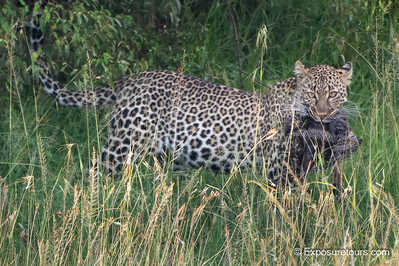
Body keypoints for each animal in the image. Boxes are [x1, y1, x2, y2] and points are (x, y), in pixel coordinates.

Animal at [29, 10, 358, 189]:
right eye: (312, 92)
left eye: (333, 93)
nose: (323, 115)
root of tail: (131, 79)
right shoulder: (277, 171)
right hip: (123, 146)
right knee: (91, 173)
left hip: (161, 156)